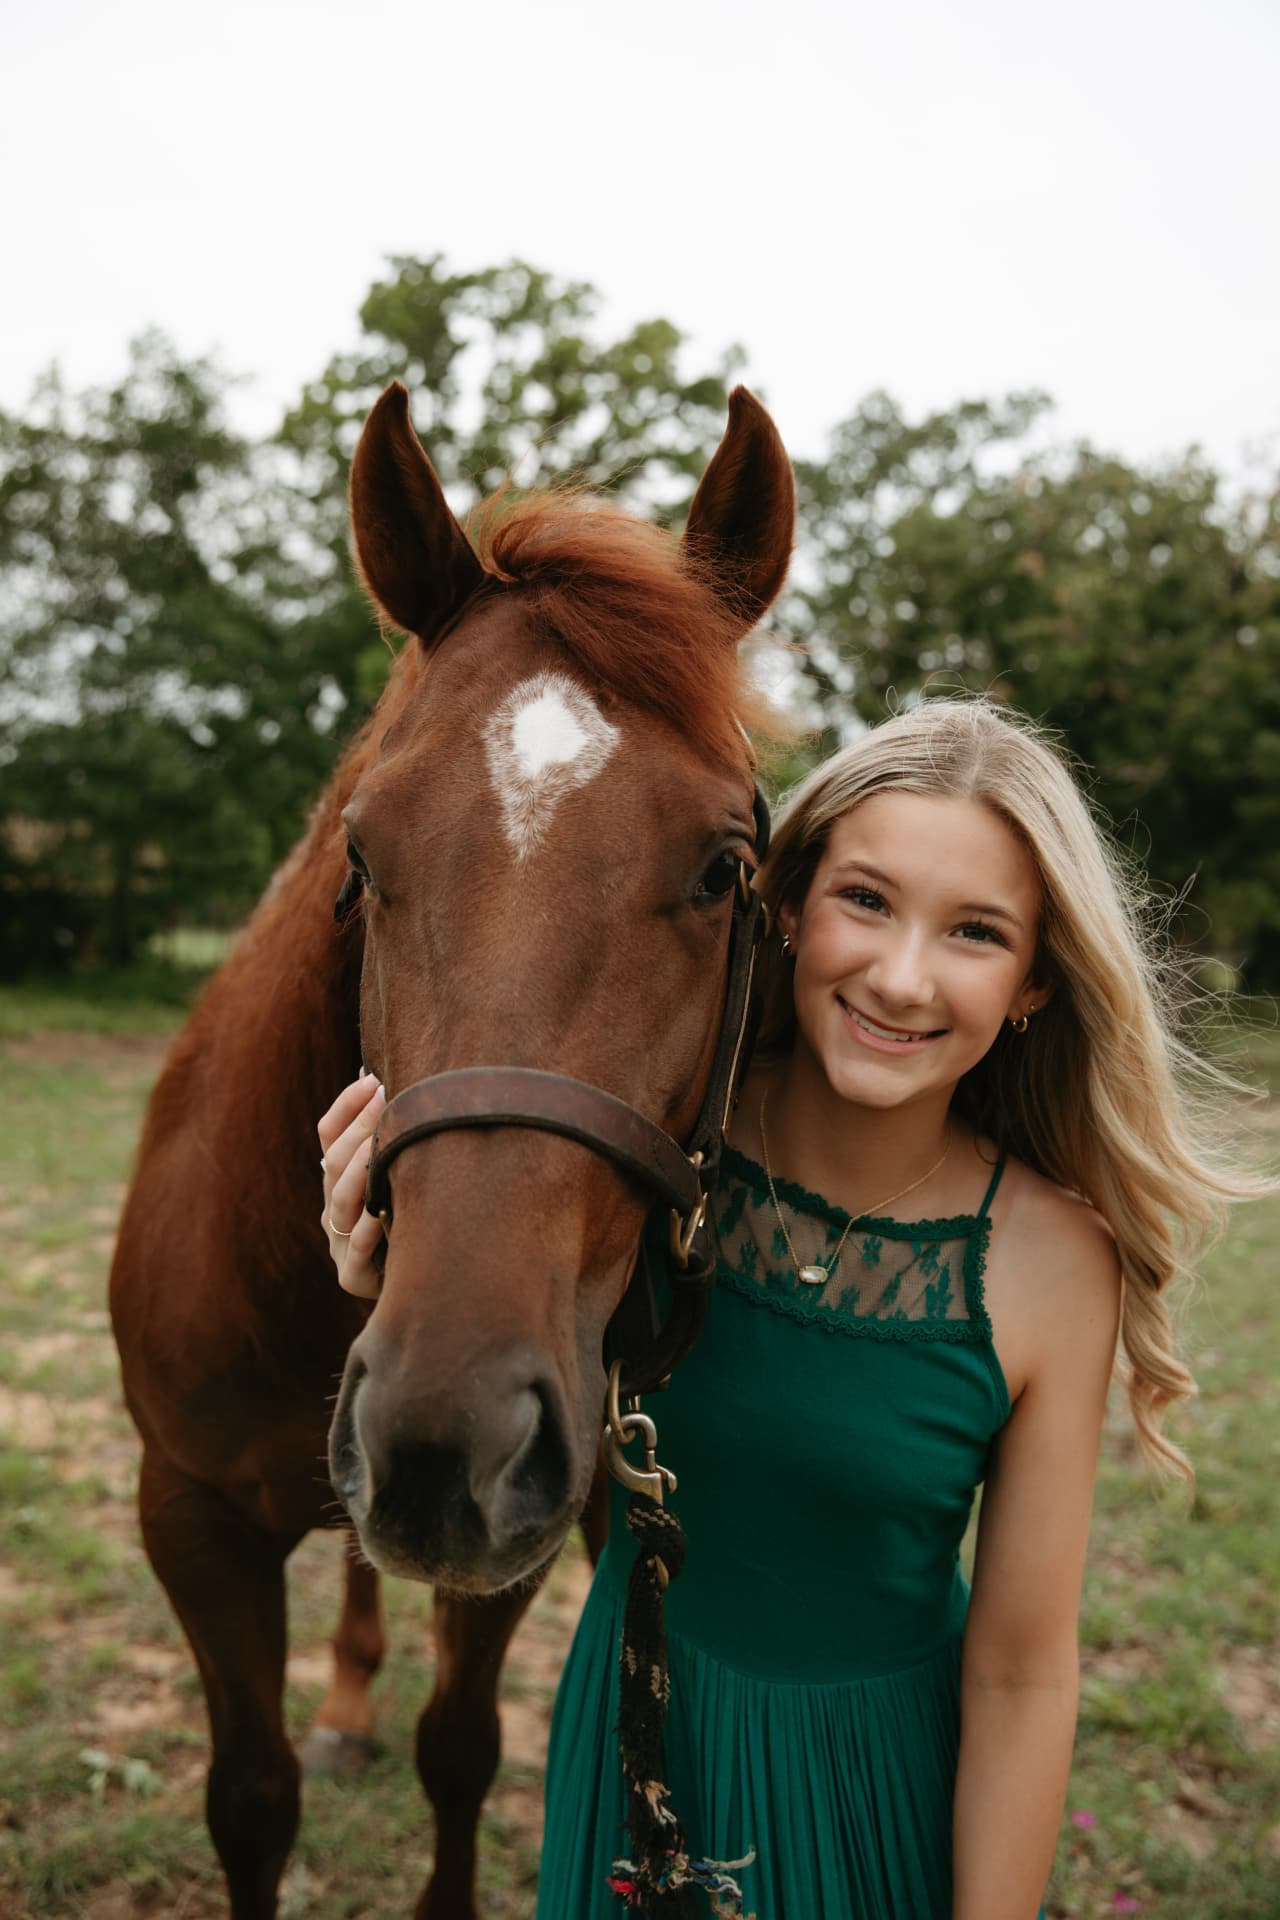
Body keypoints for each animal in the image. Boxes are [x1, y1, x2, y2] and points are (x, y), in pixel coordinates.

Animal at [109, 379, 794, 1920]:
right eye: (363, 853)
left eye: (725, 868)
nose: (442, 1433)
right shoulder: (190, 1519)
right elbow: (251, 1801)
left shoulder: (542, 1503)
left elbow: (462, 1748)